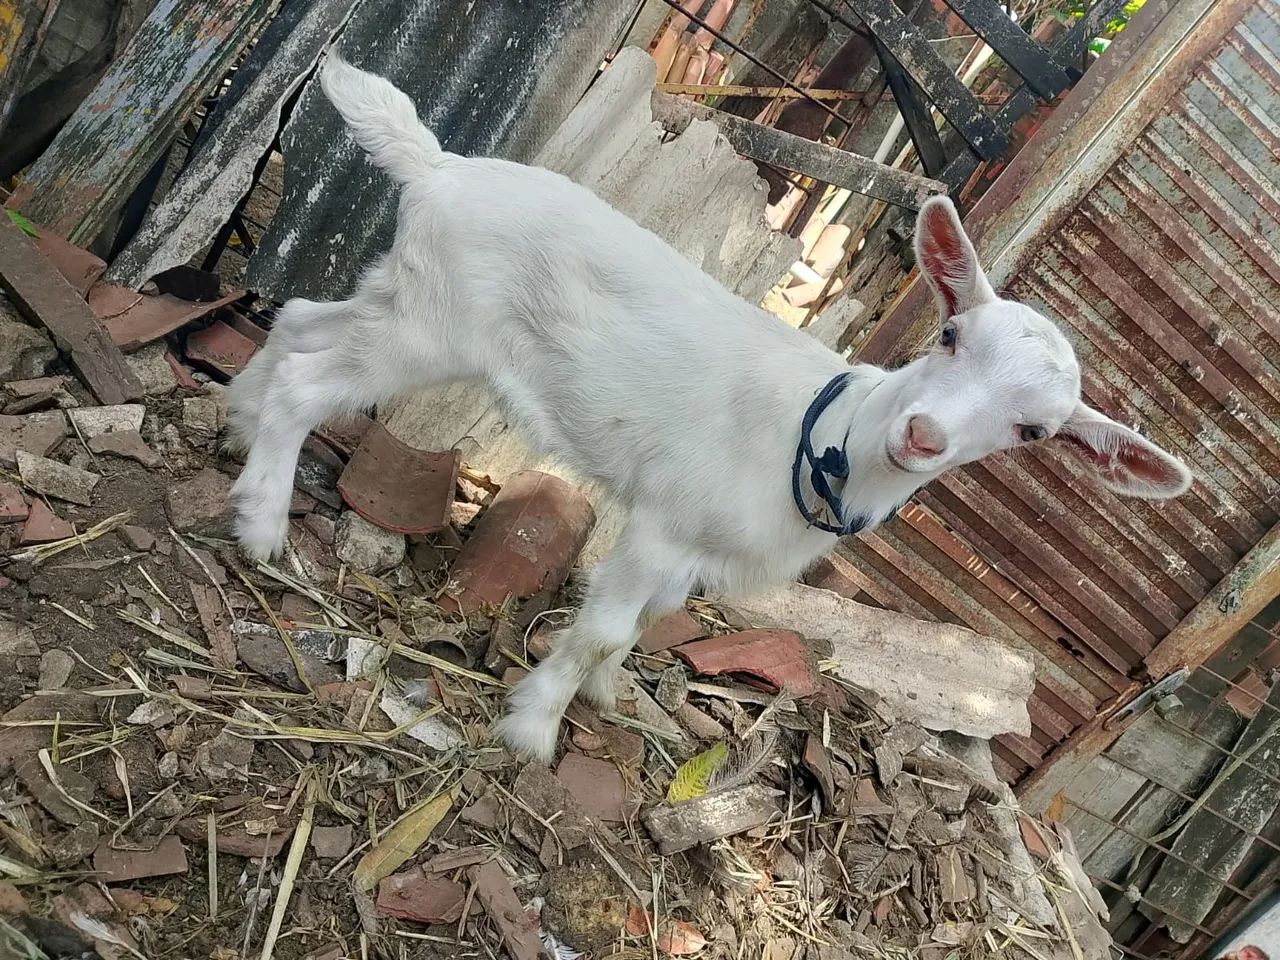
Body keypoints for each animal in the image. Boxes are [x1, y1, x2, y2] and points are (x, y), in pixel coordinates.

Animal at [227, 55, 1193, 762]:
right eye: (951, 335)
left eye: (1035, 432)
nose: (923, 436)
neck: (822, 439)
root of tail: (437, 165)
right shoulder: (665, 522)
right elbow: (601, 629)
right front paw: (532, 729)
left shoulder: (697, 553)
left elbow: (640, 630)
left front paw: (605, 697)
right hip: (435, 324)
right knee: (310, 384)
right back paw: (262, 528)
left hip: (404, 292)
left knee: (301, 320)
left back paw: (236, 425)